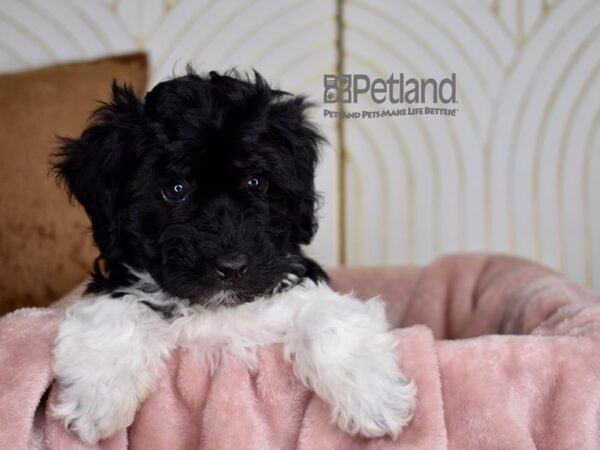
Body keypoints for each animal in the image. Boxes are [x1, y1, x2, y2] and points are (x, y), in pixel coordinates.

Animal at [50, 68, 418, 444]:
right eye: (175, 190)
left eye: (256, 182)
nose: (232, 267)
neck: (216, 311)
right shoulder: (120, 284)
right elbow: (116, 311)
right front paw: (96, 403)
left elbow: (328, 315)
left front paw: (375, 400)